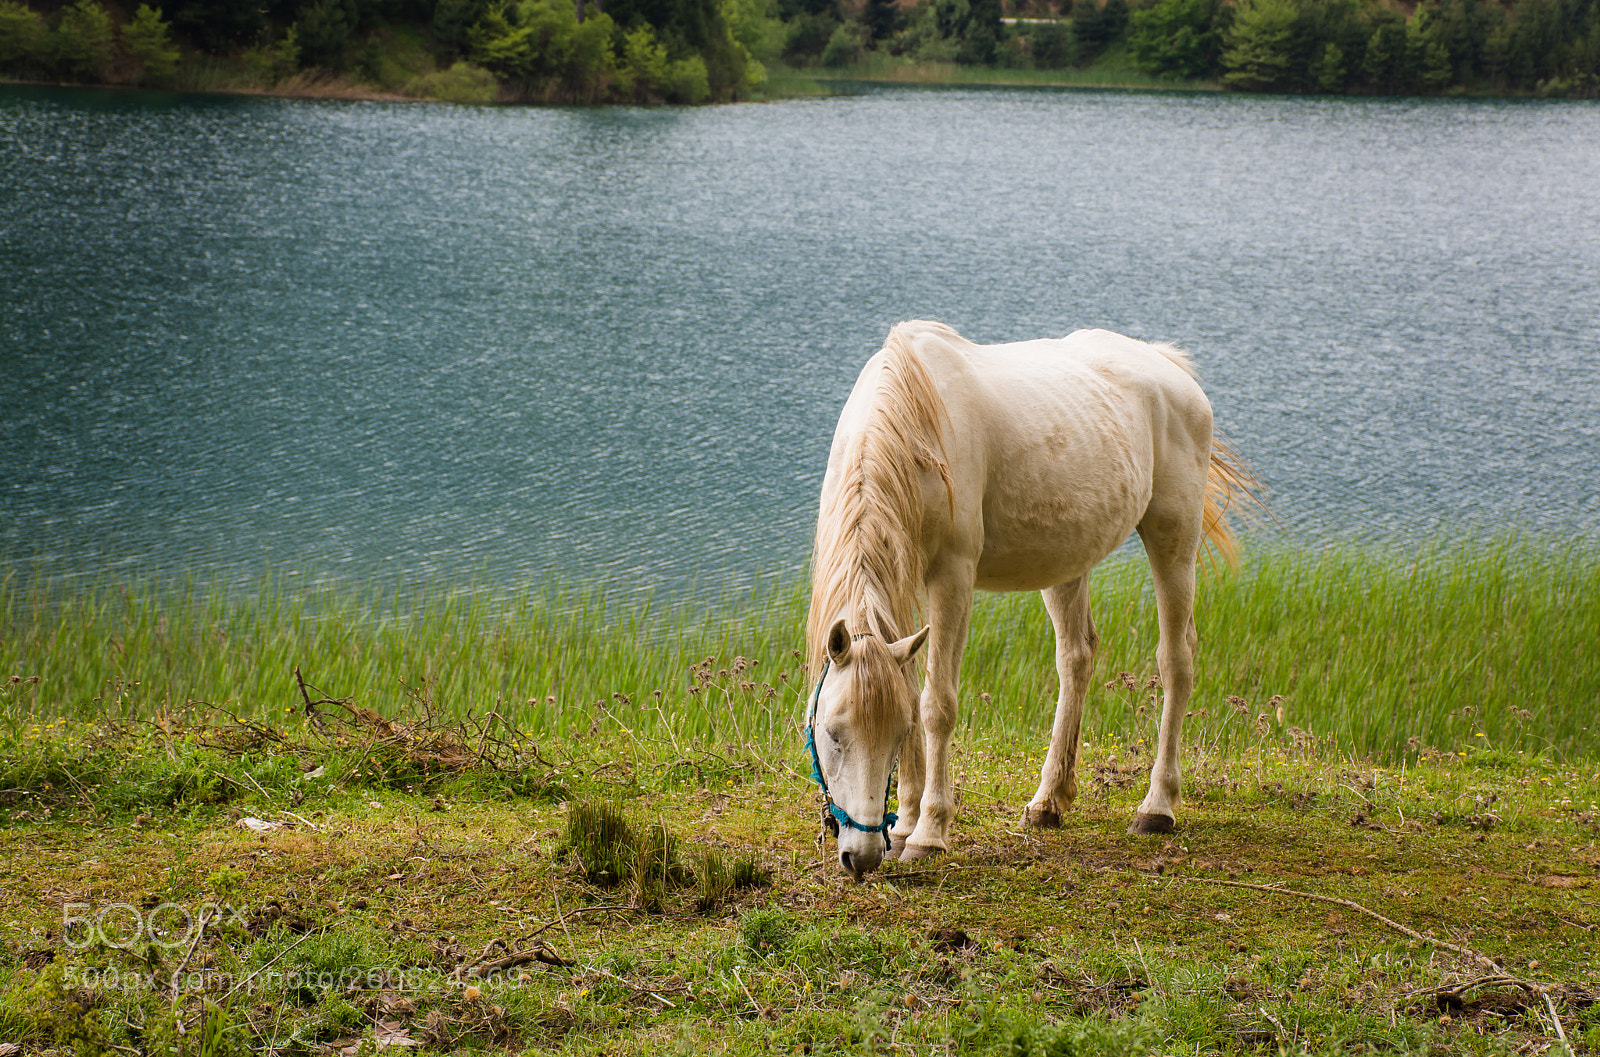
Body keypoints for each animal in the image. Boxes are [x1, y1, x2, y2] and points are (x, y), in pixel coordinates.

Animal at [802, 320, 1257, 879]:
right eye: (833, 733)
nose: (861, 856)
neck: (911, 423)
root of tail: (1171, 370)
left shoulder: (951, 577)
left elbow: (937, 704)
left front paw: (928, 833)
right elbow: (911, 688)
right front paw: (905, 824)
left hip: (1174, 536)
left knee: (1176, 661)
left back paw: (1157, 807)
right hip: (1066, 560)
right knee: (1076, 659)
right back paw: (1048, 802)